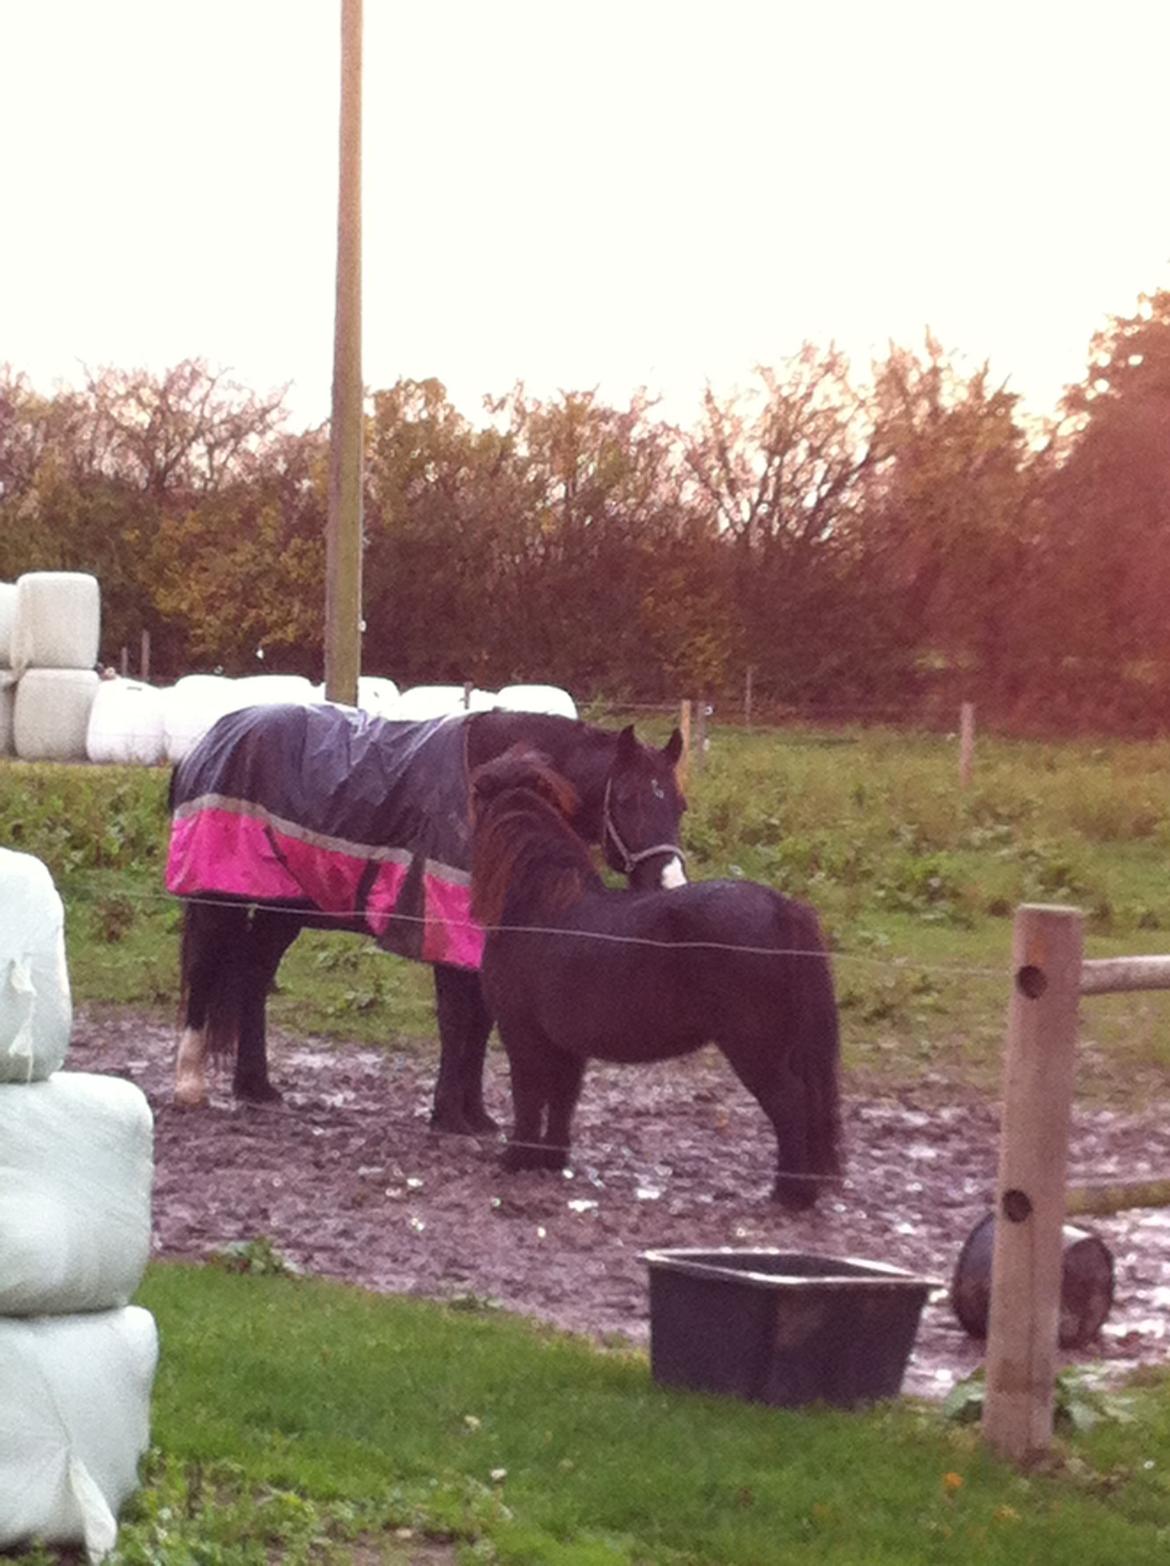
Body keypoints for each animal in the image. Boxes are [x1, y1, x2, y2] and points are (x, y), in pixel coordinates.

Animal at [164, 704, 686, 1133]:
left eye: (678, 805)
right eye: (627, 801)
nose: (670, 884)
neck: (495, 788)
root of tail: (207, 745)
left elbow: (480, 1026)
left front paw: (477, 1116)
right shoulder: (445, 928)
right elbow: (457, 1023)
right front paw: (449, 1116)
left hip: (282, 909)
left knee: (254, 978)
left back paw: (256, 1087)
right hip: (217, 898)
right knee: (204, 970)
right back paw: (190, 1086)